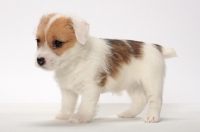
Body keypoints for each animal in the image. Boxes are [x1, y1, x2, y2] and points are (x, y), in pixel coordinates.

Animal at [35, 12, 177, 123]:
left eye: (58, 43)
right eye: (38, 41)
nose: (39, 60)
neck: (75, 60)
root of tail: (156, 47)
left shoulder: (90, 87)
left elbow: (85, 104)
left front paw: (80, 117)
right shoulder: (67, 90)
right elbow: (67, 103)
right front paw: (64, 115)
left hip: (151, 82)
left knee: (155, 100)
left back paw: (152, 117)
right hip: (133, 84)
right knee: (140, 100)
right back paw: (128, 113)